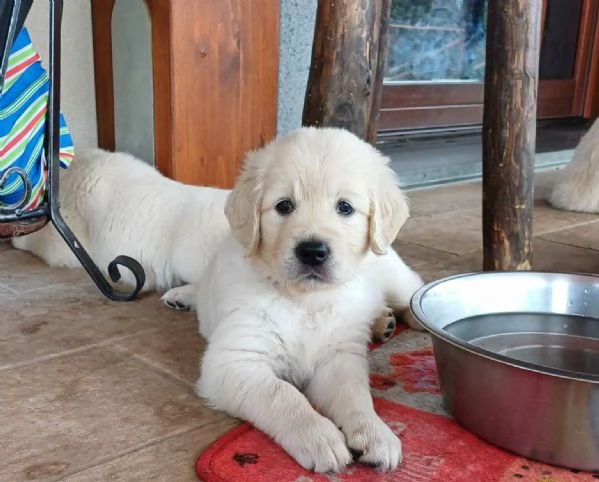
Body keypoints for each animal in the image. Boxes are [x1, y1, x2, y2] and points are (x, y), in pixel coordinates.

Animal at [163, 126, 426, 472]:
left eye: (345, 207)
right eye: (284, 206)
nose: (313, 252)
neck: (305, 301)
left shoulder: (338, 358)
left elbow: (354, 394)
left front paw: (374, 432)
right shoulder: (235, 360)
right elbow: (283, 394)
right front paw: (321, 438)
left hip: (393, 275)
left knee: (414, 291)